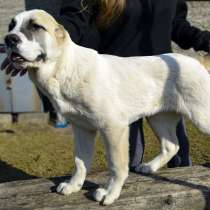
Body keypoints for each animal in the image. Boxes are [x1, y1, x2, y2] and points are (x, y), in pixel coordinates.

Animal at [3, 9, 210, 205]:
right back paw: (149, 167)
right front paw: (74, 185)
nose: (9, 39)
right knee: (171, 146)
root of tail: (197, 61)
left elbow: (116, 166)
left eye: (36, 26)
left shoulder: (114, 127)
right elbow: (80, 161)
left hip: (201, 116)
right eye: (11, 26)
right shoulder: (82, 128)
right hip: (159, 118)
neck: (63, 68)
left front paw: (110, 193)